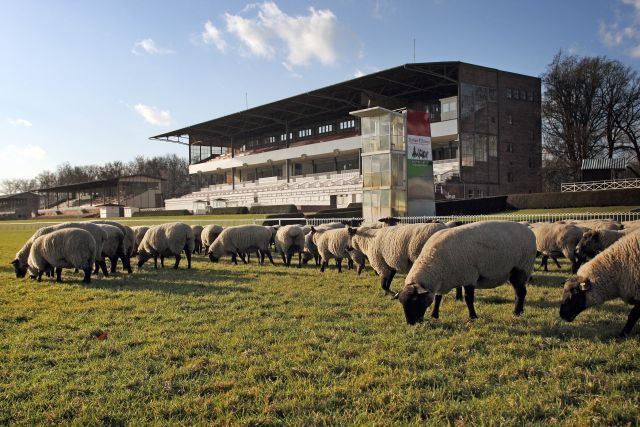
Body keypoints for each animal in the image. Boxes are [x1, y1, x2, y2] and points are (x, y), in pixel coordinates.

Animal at [398, 222, 536, 326]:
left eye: (415, 301)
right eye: (402, 303)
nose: (411, 323)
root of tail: (530, 232)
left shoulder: (469, 276)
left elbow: (468, 299)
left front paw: (473, 316)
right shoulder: (443, 280)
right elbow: (438, 298)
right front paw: (434, 315)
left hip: (521, 267)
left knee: (521, 292)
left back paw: (516, 313)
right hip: (512, 272)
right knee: (519, 292)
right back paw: (520, 311)